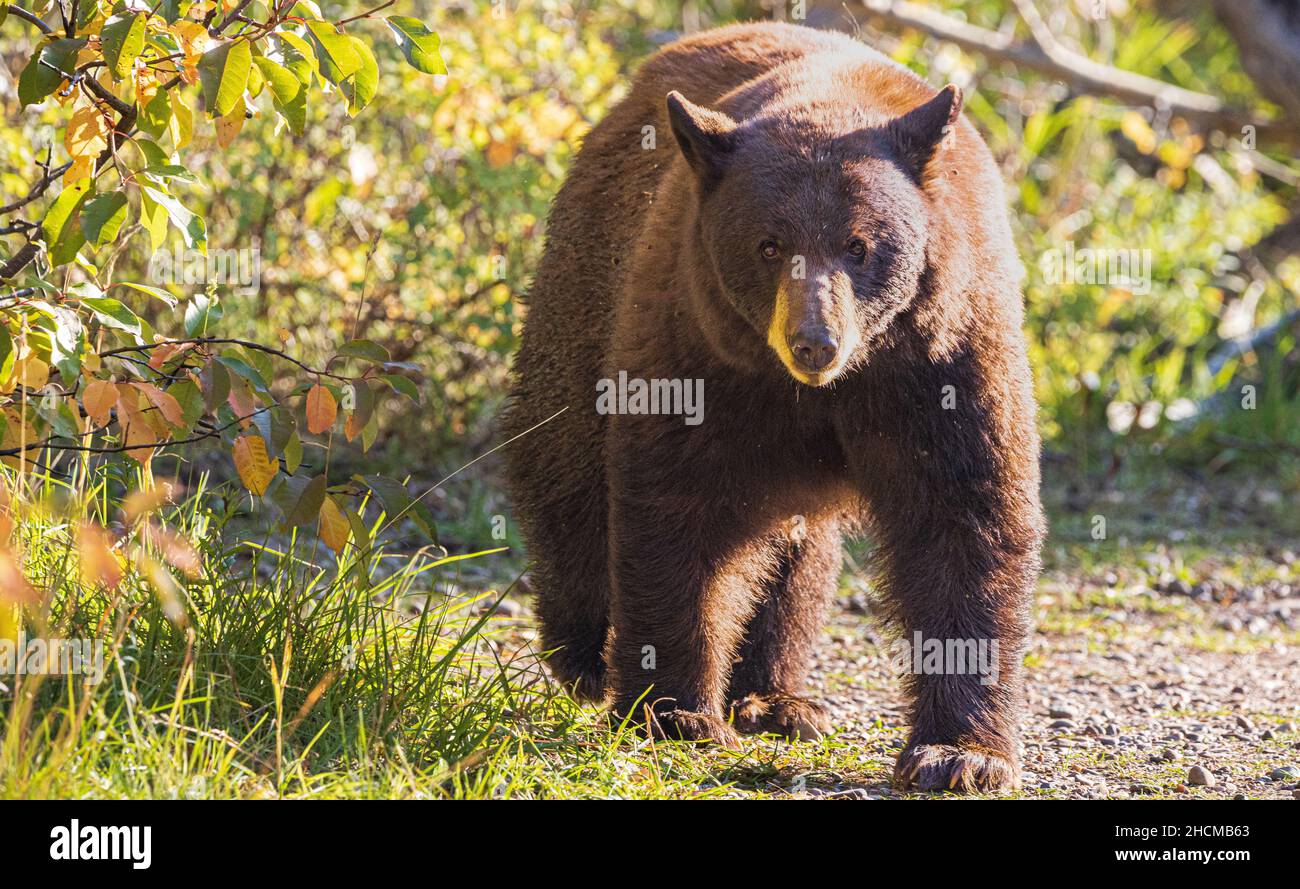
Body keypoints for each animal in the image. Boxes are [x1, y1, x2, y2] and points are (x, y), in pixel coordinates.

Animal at [501, 21, 1044, 793]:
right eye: (768, 244)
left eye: (859, 245)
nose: (814, 341)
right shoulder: (696, 348)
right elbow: (675, 504)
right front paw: (674, 709)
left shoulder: (945, 355)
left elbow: (965, 514)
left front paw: (960, 753)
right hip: (586, 282)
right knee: (564, 461)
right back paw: (583, 651)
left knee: (795, 550)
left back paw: (776, 696)